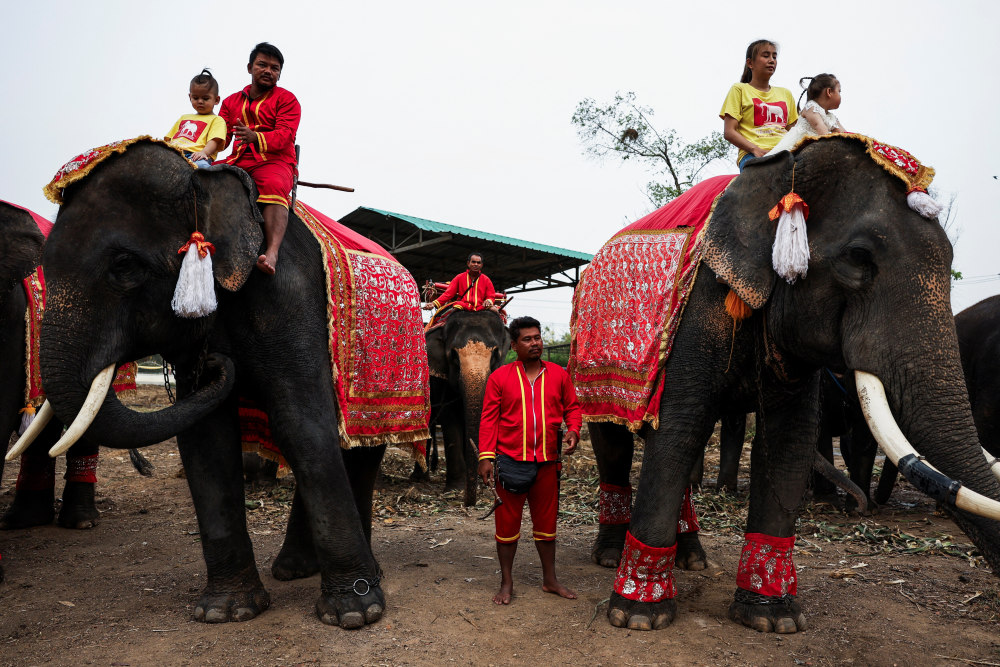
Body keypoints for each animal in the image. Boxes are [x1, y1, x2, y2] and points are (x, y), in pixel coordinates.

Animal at [21, 138, 430, 628]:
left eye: (124, 266)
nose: (214, 361)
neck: (205, 181)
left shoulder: (288, 295)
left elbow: (301, 425)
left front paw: (355, 614)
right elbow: (206, 438)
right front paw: (224, 611)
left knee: (359, 446)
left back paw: (362, 574)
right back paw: (293, 569)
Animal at [420, 310, 508, 504]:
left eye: (495, 355)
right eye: (453, 356)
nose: (469, 503)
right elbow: (451, 419)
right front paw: (456, 488)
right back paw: (420, 480)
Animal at [576, 137, 1000, 636]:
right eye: (859, 258)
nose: (860, 510)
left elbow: (788, 439)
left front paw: (772, 620)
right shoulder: (700, 306)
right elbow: (682, 427)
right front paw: (638, 617)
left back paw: (693, 560)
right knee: (616, 442)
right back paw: (610, 556)